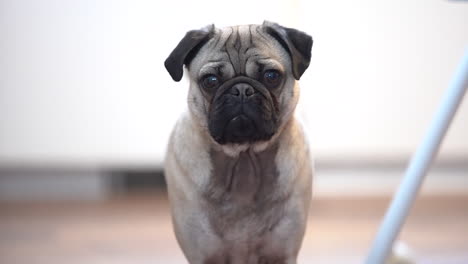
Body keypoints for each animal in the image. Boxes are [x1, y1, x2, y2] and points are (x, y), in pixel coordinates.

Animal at [165, 21, 314, 264]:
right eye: (210, 81)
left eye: (271, 76)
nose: (241, 89)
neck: (244, 160)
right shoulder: (202, 255)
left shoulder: (282, 253)